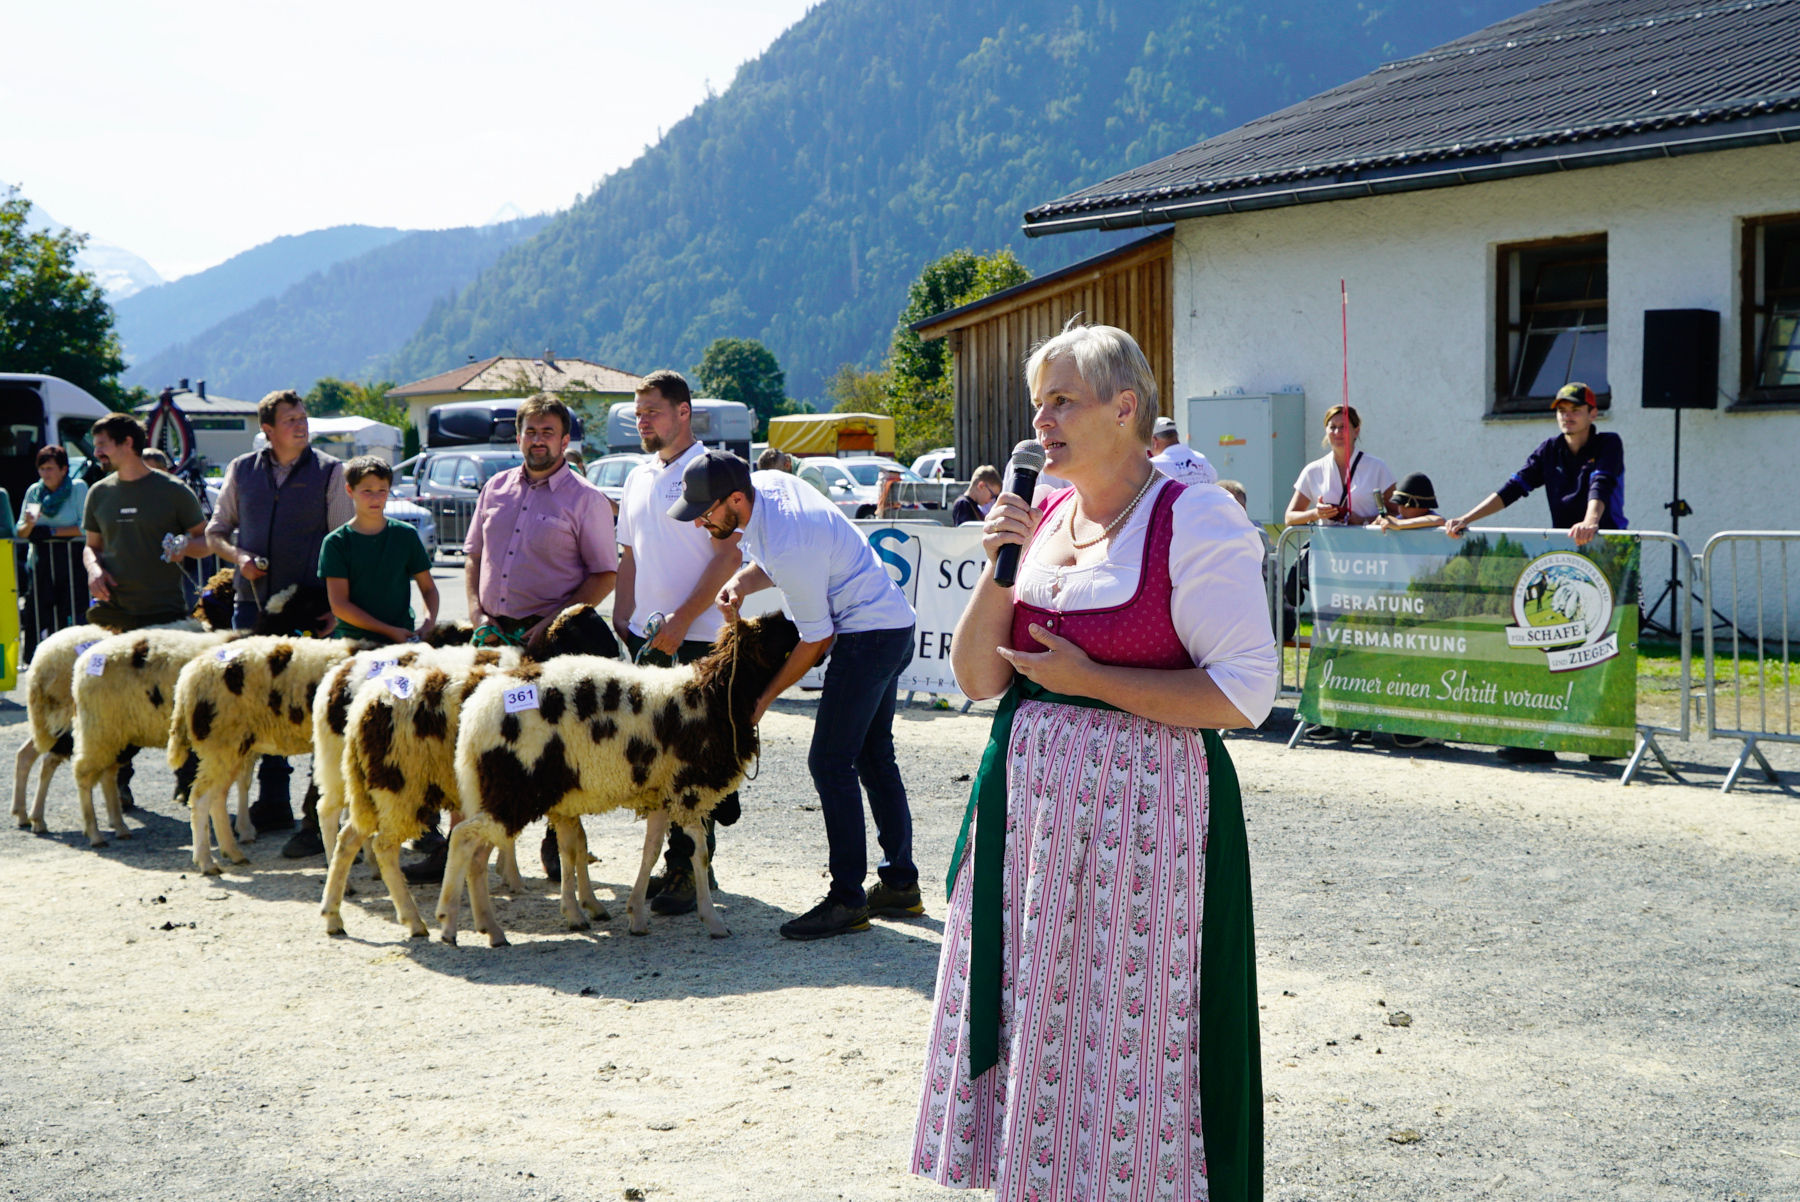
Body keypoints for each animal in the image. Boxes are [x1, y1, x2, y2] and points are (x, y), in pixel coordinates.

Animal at [325, 604, 626, 935]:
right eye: (590, 635)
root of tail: (363, 703)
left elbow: (576, 844)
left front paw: (586, 902)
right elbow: (571, 845)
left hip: (371, 784)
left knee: (349, 836)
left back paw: (335, 914)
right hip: (392, 783)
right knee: (349, 825)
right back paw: (408, 917)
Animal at [432, 615, 799, 942]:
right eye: (780, 635)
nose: (809, 639)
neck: (715, 695)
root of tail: (474, 714)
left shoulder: (661, 792)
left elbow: (651, 851)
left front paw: (636, 915)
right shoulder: (688, 791)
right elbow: (700, 853)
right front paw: (713, 920)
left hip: (502, 791)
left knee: (477, 855)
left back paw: (489, 929)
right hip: (515, 791)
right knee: (463, 838)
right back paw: (449, 923)